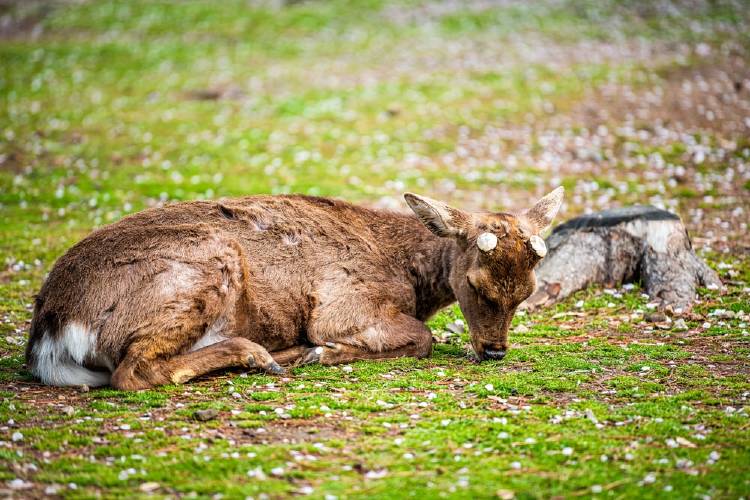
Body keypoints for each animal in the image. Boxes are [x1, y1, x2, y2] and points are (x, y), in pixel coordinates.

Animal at [25, 188, 564, 390]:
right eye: (476, 284)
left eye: (527, 291)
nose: (494, 350)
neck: (407, 275)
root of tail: (52, 327)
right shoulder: (344, 305)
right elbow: (422, 337)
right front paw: (324, 351)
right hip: (204, 269)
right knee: (133, 371)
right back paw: (263, 354)